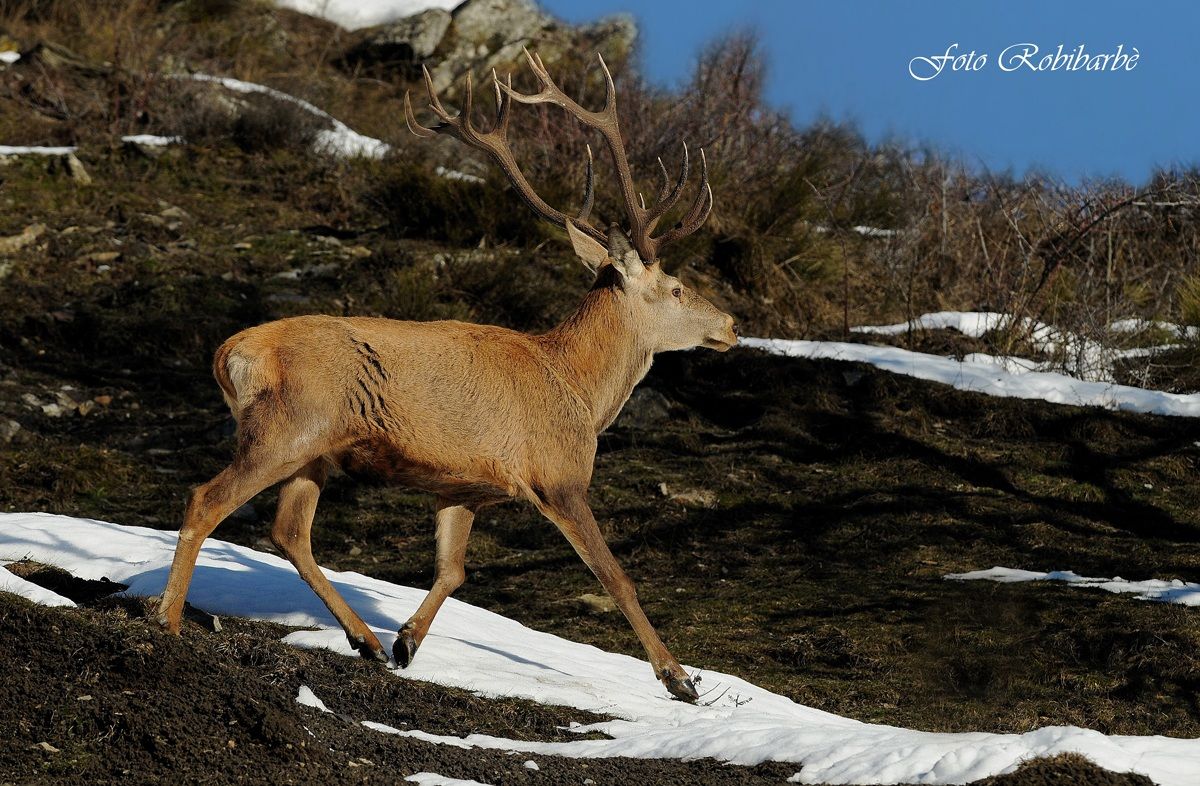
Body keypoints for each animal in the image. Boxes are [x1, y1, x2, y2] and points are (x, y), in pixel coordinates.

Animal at [154, 49, 737, 702]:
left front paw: (407, 640)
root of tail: (228, 352)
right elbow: (615, 576)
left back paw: (367, 640)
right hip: (289, 426)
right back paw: (168, 619)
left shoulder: (464, 485)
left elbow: (453, 569)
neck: (581, 391)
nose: (731, 324)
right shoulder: (558, 474)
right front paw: (679, 678)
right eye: (677, 288)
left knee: (289, 531)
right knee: (206, 498)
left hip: (313, 451)